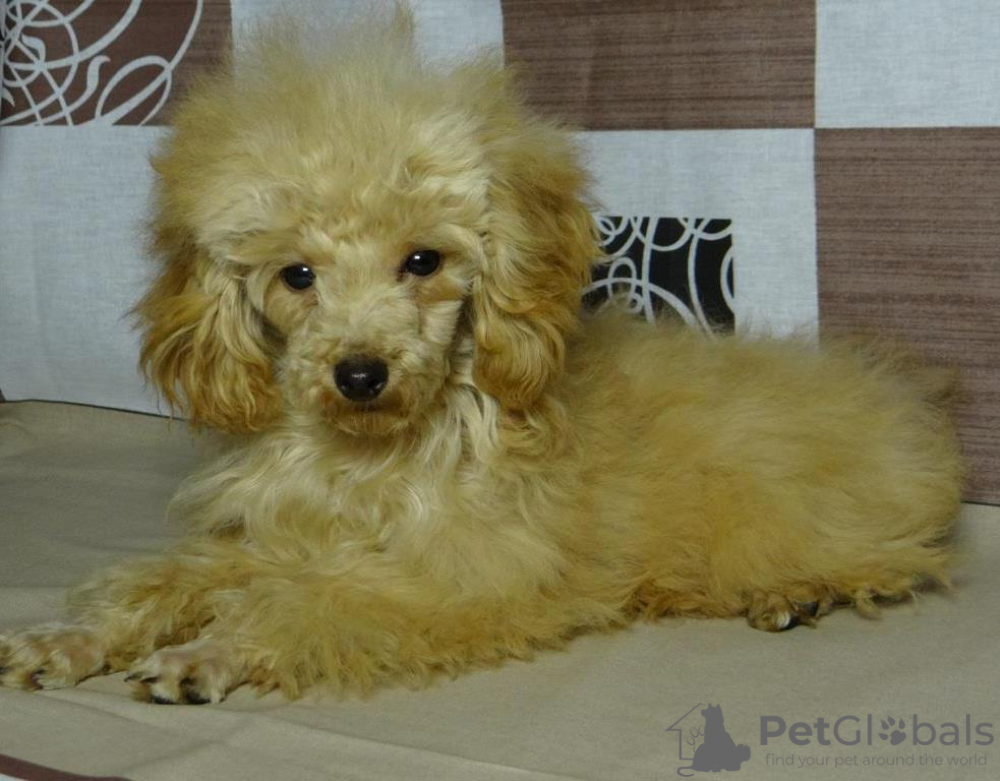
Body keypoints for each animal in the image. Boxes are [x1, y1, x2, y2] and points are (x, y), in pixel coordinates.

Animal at [0, 10, 963, 704]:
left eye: (423, 260)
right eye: (296, 275)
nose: (359, 374)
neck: (376, 455)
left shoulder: (454, 574)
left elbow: (310, 602)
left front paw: (213, 650)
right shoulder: (287, 534)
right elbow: (165, 579)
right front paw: (70, 638)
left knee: (891, 554)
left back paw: (795, 590)